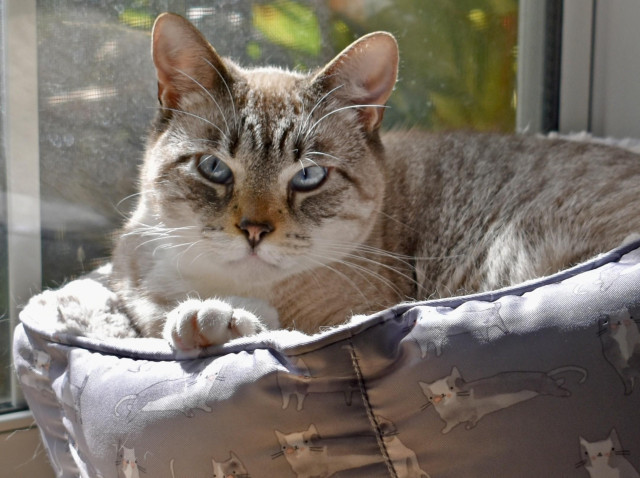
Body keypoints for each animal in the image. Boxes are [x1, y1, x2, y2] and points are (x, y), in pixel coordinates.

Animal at [36, 10, 640, 348]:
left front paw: (216, 321)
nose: (253, 231)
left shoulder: (346, 315)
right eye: (214, 168)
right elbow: (154, 312)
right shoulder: (134, 286)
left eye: (308, 175)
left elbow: (271, 327)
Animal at [418, 366, 588, 434]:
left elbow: (474, 415)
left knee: (555, 388)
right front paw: (447, 429)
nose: (442, 397)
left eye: (451, 388)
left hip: (543, 386)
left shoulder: (476, 408)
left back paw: (566, 392)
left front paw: (467, 425)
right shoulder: (456, 419)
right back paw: (562, 381)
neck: (455, 408)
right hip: (544, 386)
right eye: (432, 396)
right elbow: (453, 424)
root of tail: (543, 374)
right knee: (558, 381)